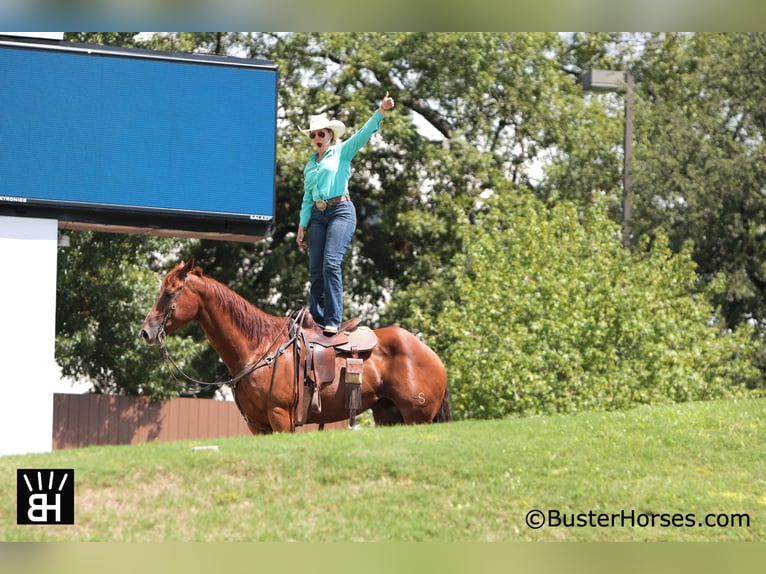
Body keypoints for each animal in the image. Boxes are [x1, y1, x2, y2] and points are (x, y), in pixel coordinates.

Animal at [140, 258, 450, 434]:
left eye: (169, 293)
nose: (146, 332)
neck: (259, 348)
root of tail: (432, 356)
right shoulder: (257, 425)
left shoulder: (280, 417)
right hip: (388, 415)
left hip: (417, 418)